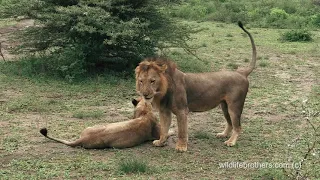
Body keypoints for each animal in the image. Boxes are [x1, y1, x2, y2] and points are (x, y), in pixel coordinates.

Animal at [135, 21, 258, 152]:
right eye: (141, 81)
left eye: (152, 81)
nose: (144, 94)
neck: (163, 90)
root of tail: (241, 72)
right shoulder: (164, 111)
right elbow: (164, 129)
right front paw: (160, 142)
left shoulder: (182, 111)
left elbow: (182, 131)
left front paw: (181, 147)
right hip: (224, 106)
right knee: (230, 123)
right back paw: (223, 134)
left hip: (234, 105)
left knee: (237, 126)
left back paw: (231, 141)